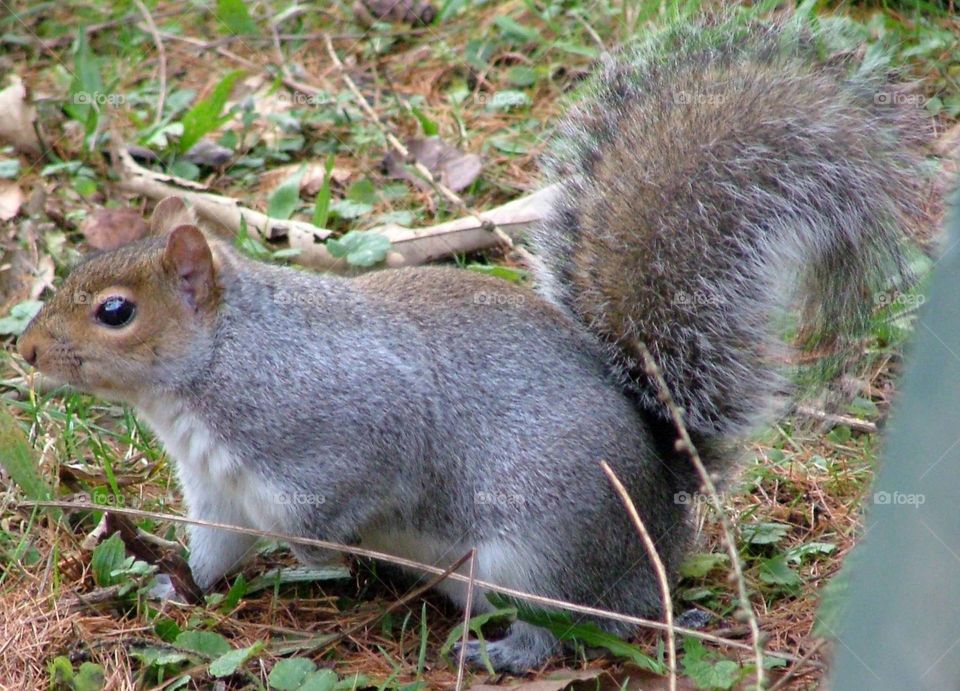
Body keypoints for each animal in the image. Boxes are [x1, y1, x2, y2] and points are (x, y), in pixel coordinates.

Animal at [17, 16, 928, 674]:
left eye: (114, 311)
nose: (24, 352)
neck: (214, 369)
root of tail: (664, 524)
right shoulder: (217, 494)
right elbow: (214, 555)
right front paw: (166, 585)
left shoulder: (348, 418)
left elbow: (351, 490)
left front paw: (321, 550)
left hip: (537, 554)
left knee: (571, 622)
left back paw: (509, 648)